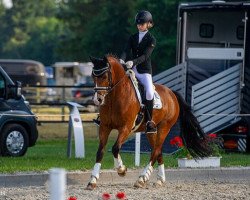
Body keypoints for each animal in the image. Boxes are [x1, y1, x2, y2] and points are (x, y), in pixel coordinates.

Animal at [86, 55, 211, 190]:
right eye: (93, 76)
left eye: (104, 76)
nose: (97, 100)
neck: (115, 97)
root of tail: (172, 93)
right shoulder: (104, 127)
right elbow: (100, 152)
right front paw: (92, 181)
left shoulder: (126, 128)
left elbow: (115, 148)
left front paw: (122, 170)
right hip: (151, 131)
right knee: (158, 150)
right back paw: (160, 180)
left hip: (164, 127)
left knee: (156, 151)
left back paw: (142, 178)